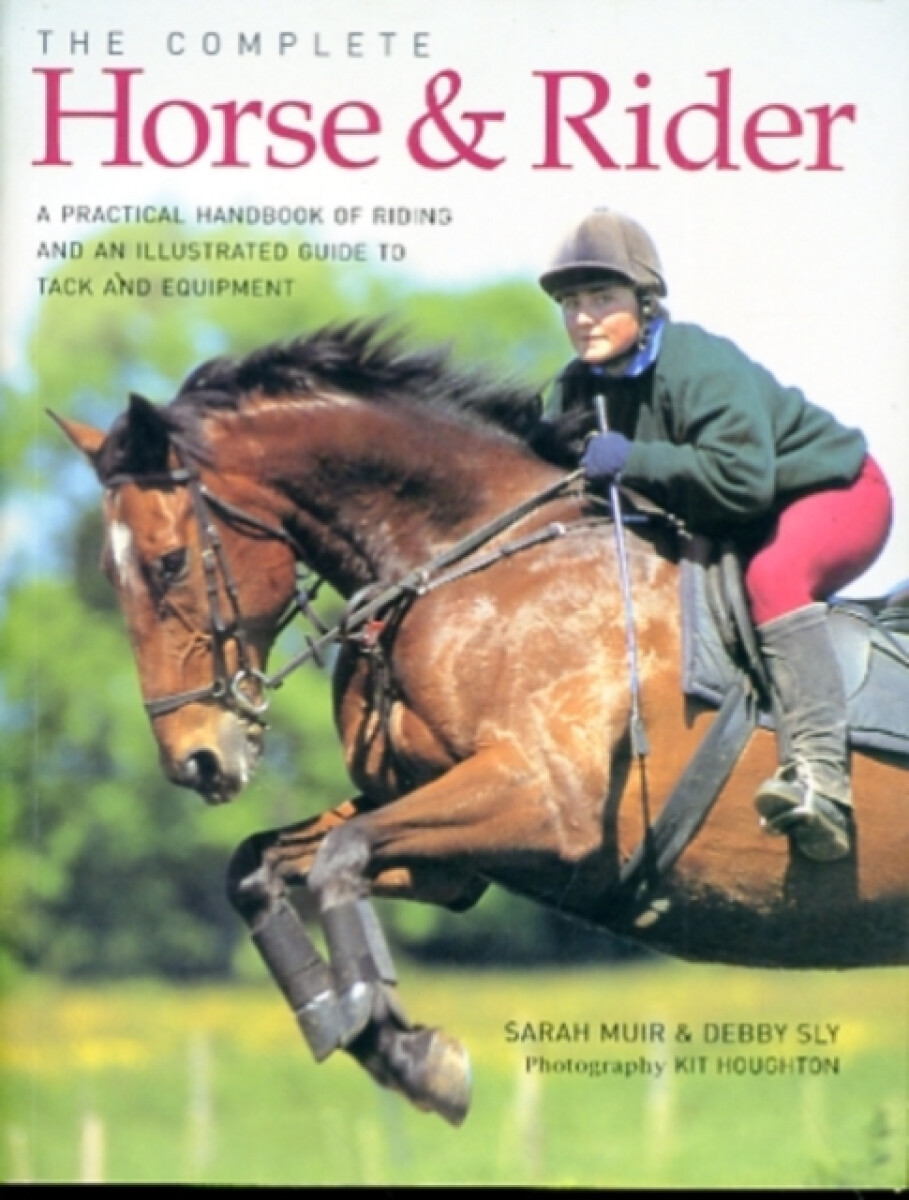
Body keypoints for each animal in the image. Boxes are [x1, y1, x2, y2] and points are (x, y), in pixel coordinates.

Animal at [53, 322, 908, 1126]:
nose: (196, 760)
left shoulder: (546, 805)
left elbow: (339, 854)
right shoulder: (454, 854)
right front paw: (360, 1030)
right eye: (106, 573)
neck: (463, 564)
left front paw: (412, 1057)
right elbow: (261, 866)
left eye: (168, 563)